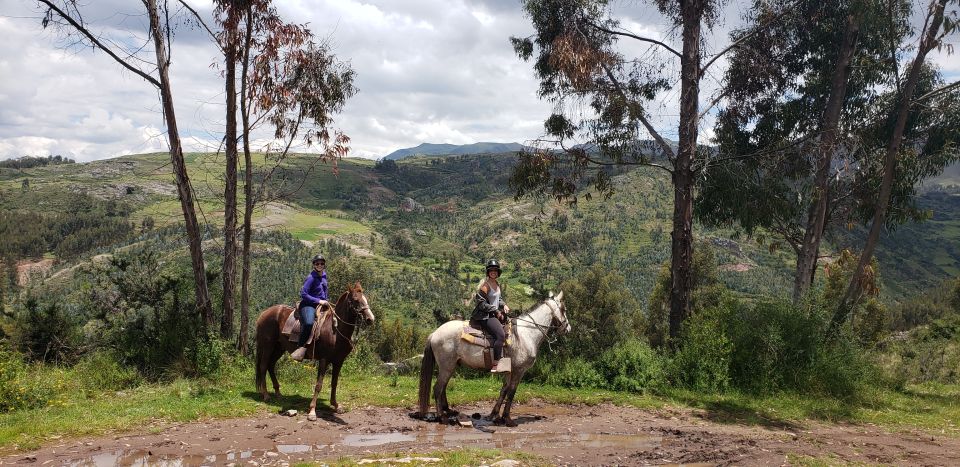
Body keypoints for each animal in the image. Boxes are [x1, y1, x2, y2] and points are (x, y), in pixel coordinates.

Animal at [255, 282, 376, 420]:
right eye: (356, 300)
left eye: (365, 299)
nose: (370, 319)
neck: (335, 330)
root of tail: (263, 314)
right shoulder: (324, 359)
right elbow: (318, 385)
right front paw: (312, 411)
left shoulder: (338, 361)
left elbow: (334, 383)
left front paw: (336, 405)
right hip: (267, 346)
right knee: (263, 366)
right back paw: (266, 395)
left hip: (279, 348)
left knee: (270, 365)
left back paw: (278, 393)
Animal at [414, 292, 568, 428]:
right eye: (564, 309)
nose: (568, 328)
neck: (526, 334)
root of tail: (435, 333)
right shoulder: (519, 370)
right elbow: (511, 392)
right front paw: (508, 419)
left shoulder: (509, 370)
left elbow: (504, 390)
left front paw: (495, 415)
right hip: (447, 366)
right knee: (438, 388)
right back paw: (442, 417)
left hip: (450, 366)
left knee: (443, 387)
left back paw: (449, 411)